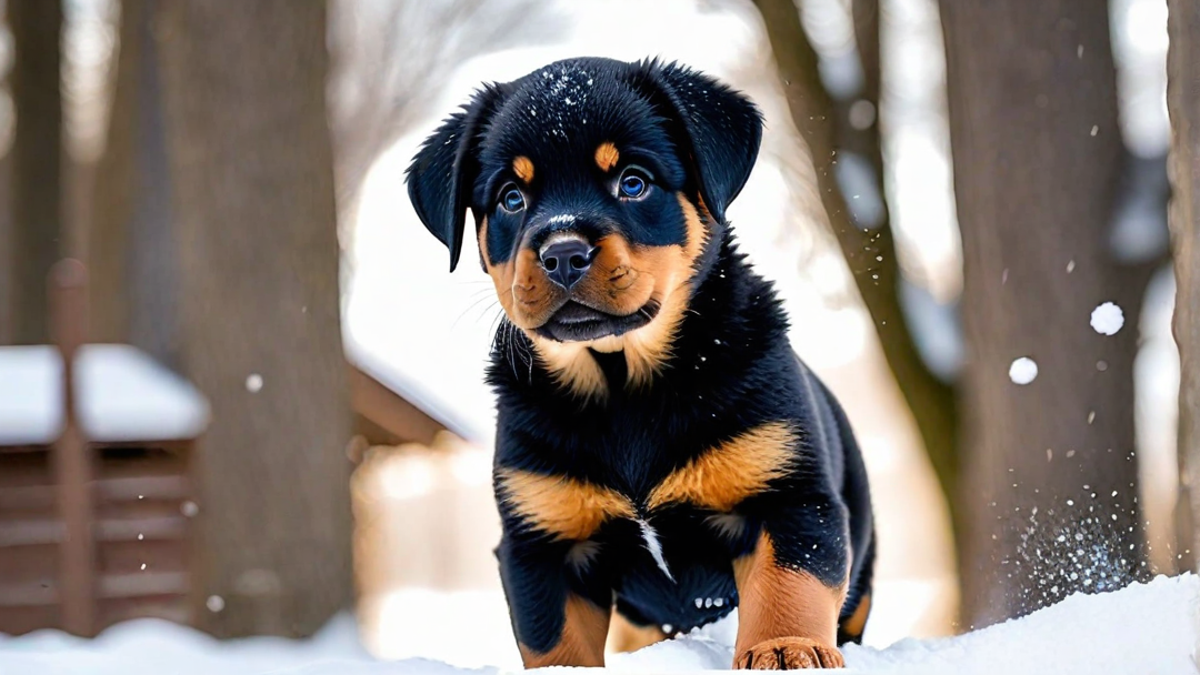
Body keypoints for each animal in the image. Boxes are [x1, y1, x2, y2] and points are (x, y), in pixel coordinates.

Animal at [405, 55, 873, 662]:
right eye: (511, 197)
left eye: (633, 182)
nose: (562, 253)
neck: (622, 382)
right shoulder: (541, 543)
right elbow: (553, 641)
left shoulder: (791, 499)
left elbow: (788, 585)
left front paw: (783, 648)